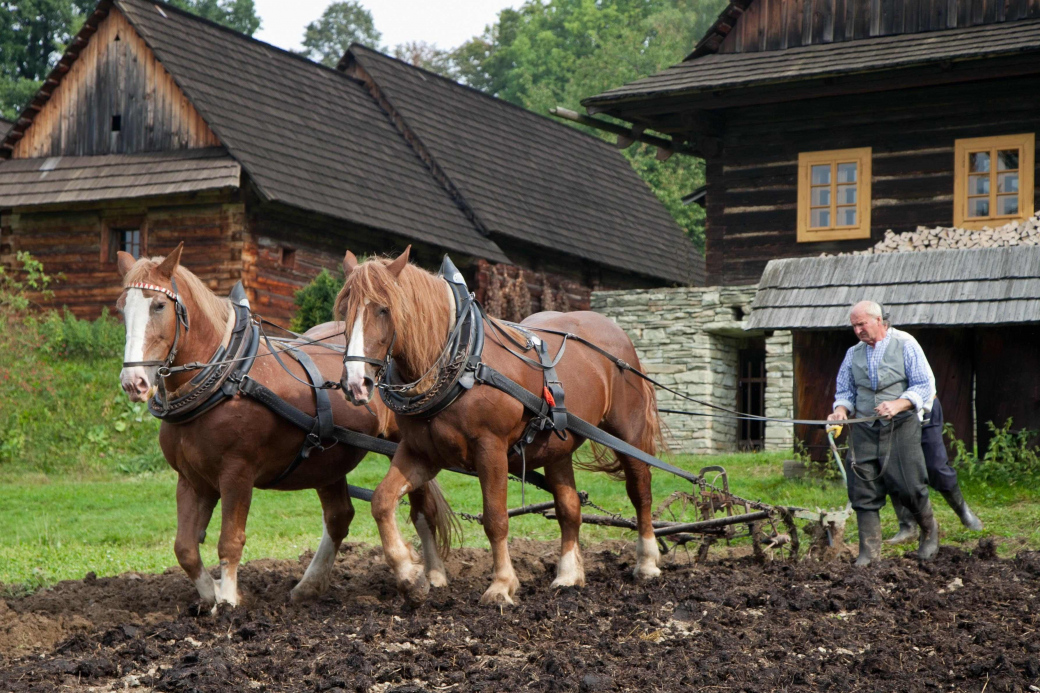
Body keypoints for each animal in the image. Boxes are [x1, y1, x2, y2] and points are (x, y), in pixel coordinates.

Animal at [115, 244, 453, 611]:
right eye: (122, 308)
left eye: (159, 306)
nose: (133, 381)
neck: (226, 377)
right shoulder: (192, 479)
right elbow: (186, 548)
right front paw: (212, 595)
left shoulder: (237, 473)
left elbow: (229, 540)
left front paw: (229, 600)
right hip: (327, 460)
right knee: (339, 516)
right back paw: (310, 585)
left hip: (407, 444)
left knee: (420, 508)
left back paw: (432, 574)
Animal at [334, 248, 657, 603]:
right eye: (344, 310)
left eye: (383, 308)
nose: (355, 384)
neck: (463, 361)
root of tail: (616, 333)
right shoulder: (421, 453)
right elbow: (383, 501)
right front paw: (409, 573)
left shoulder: (491, 448)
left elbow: (495, 518)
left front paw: (501, 584)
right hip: (557, 447)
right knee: (569, 506)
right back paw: (568, 574)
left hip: (627, 432)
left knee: (640, 491)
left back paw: (647, 563)